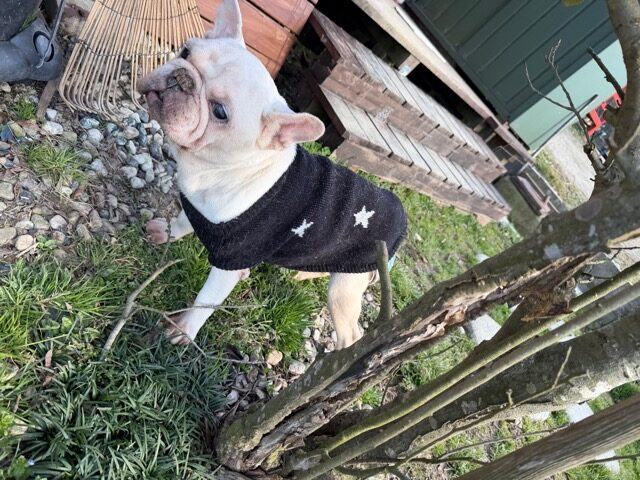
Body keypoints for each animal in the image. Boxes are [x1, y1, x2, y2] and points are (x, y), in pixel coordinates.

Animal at [137, 0, 406, 350]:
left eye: (220, 112)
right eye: (185, 51)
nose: (181, 78)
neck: (216, 168)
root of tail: (402, 222)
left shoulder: (229, 264)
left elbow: (205, 301)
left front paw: (184, 330)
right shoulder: (198, 206)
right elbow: (184, 221)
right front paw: (167, 232)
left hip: (344, 290)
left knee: (351, 334)